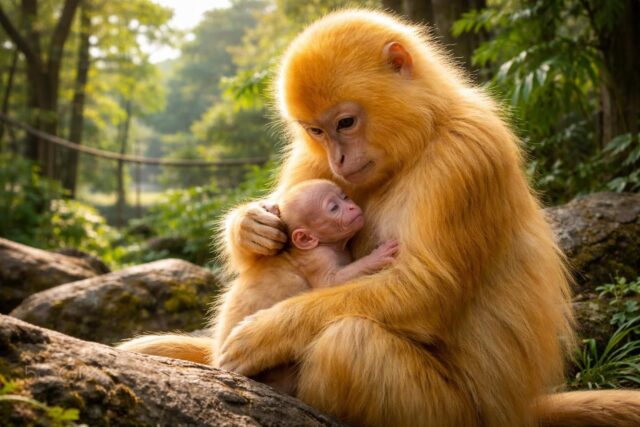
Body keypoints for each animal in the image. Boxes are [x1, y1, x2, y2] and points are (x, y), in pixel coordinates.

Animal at [119, 9, 640, 427]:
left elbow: (428, 289)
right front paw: (250, 226)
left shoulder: (468, 153)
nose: (339, 160)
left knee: (347, 343)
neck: (421, 137)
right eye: (316, 131)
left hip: (455, 414)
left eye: (346, 123)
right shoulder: (314, 162)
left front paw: (268, 333)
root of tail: (520, 412)